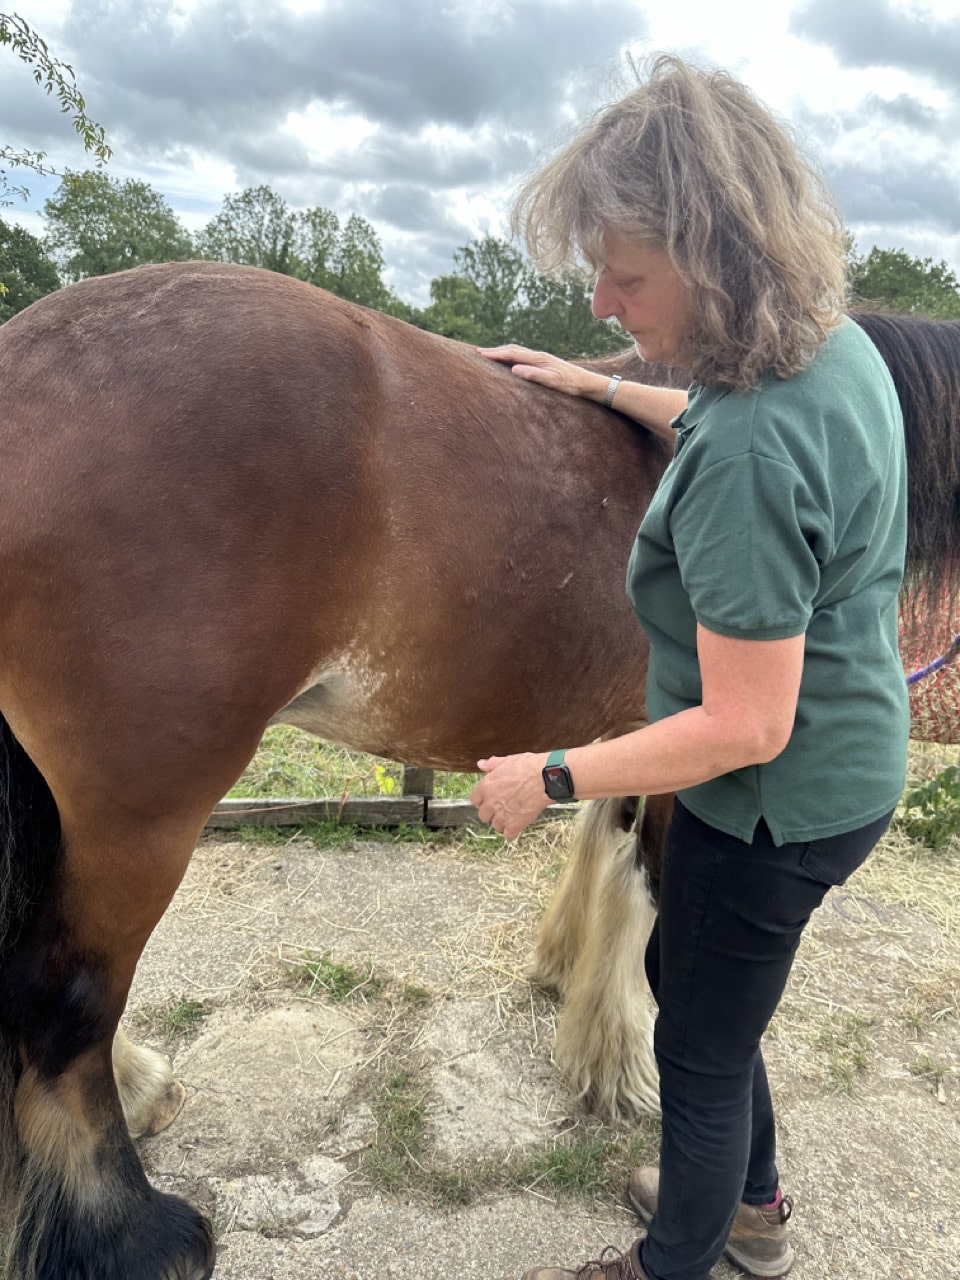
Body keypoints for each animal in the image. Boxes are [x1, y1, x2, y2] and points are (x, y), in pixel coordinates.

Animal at [0, 262, 957, 1280]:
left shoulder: (633, 735)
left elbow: (604, 859)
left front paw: (575, 1002)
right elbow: (647, 907)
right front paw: (625, 1063)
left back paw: (139, 1088)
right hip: (146, 812)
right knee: (65, 995)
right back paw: (134, 1233)